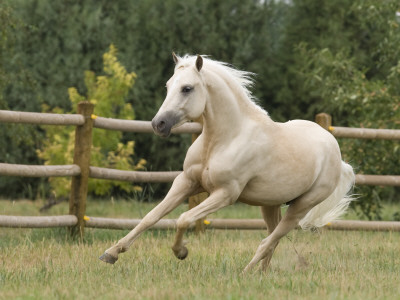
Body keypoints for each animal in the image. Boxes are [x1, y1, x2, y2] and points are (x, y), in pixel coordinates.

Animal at [101, 54, 354, 272]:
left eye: (187, 88)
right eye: (168, 85)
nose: (158, 124)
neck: (223, 140)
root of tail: (336, 153)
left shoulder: (225, 193)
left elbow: (183, 219)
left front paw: (181, 252)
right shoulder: (186, 182)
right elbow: (151, 217)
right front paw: (111, 253)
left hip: (301, 206)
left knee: (269, 239)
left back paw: (246, 273)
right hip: (270, 204)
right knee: (273, 239)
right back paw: (261, 273)